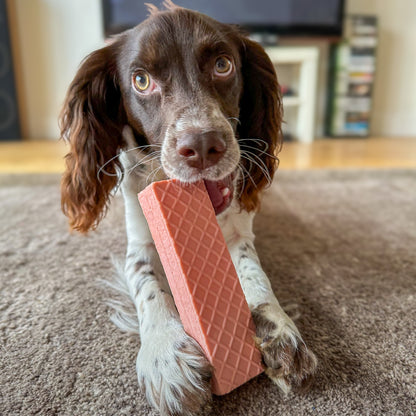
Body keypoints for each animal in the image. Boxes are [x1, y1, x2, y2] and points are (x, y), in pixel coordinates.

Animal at [60, 1, 316, 414]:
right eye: (141, 80)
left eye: (223, 65)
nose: (202, 146)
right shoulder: (141, 244)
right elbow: (149, 286)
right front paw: (166, 356)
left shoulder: (239, 232)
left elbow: (255, 275)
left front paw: (279, 329)